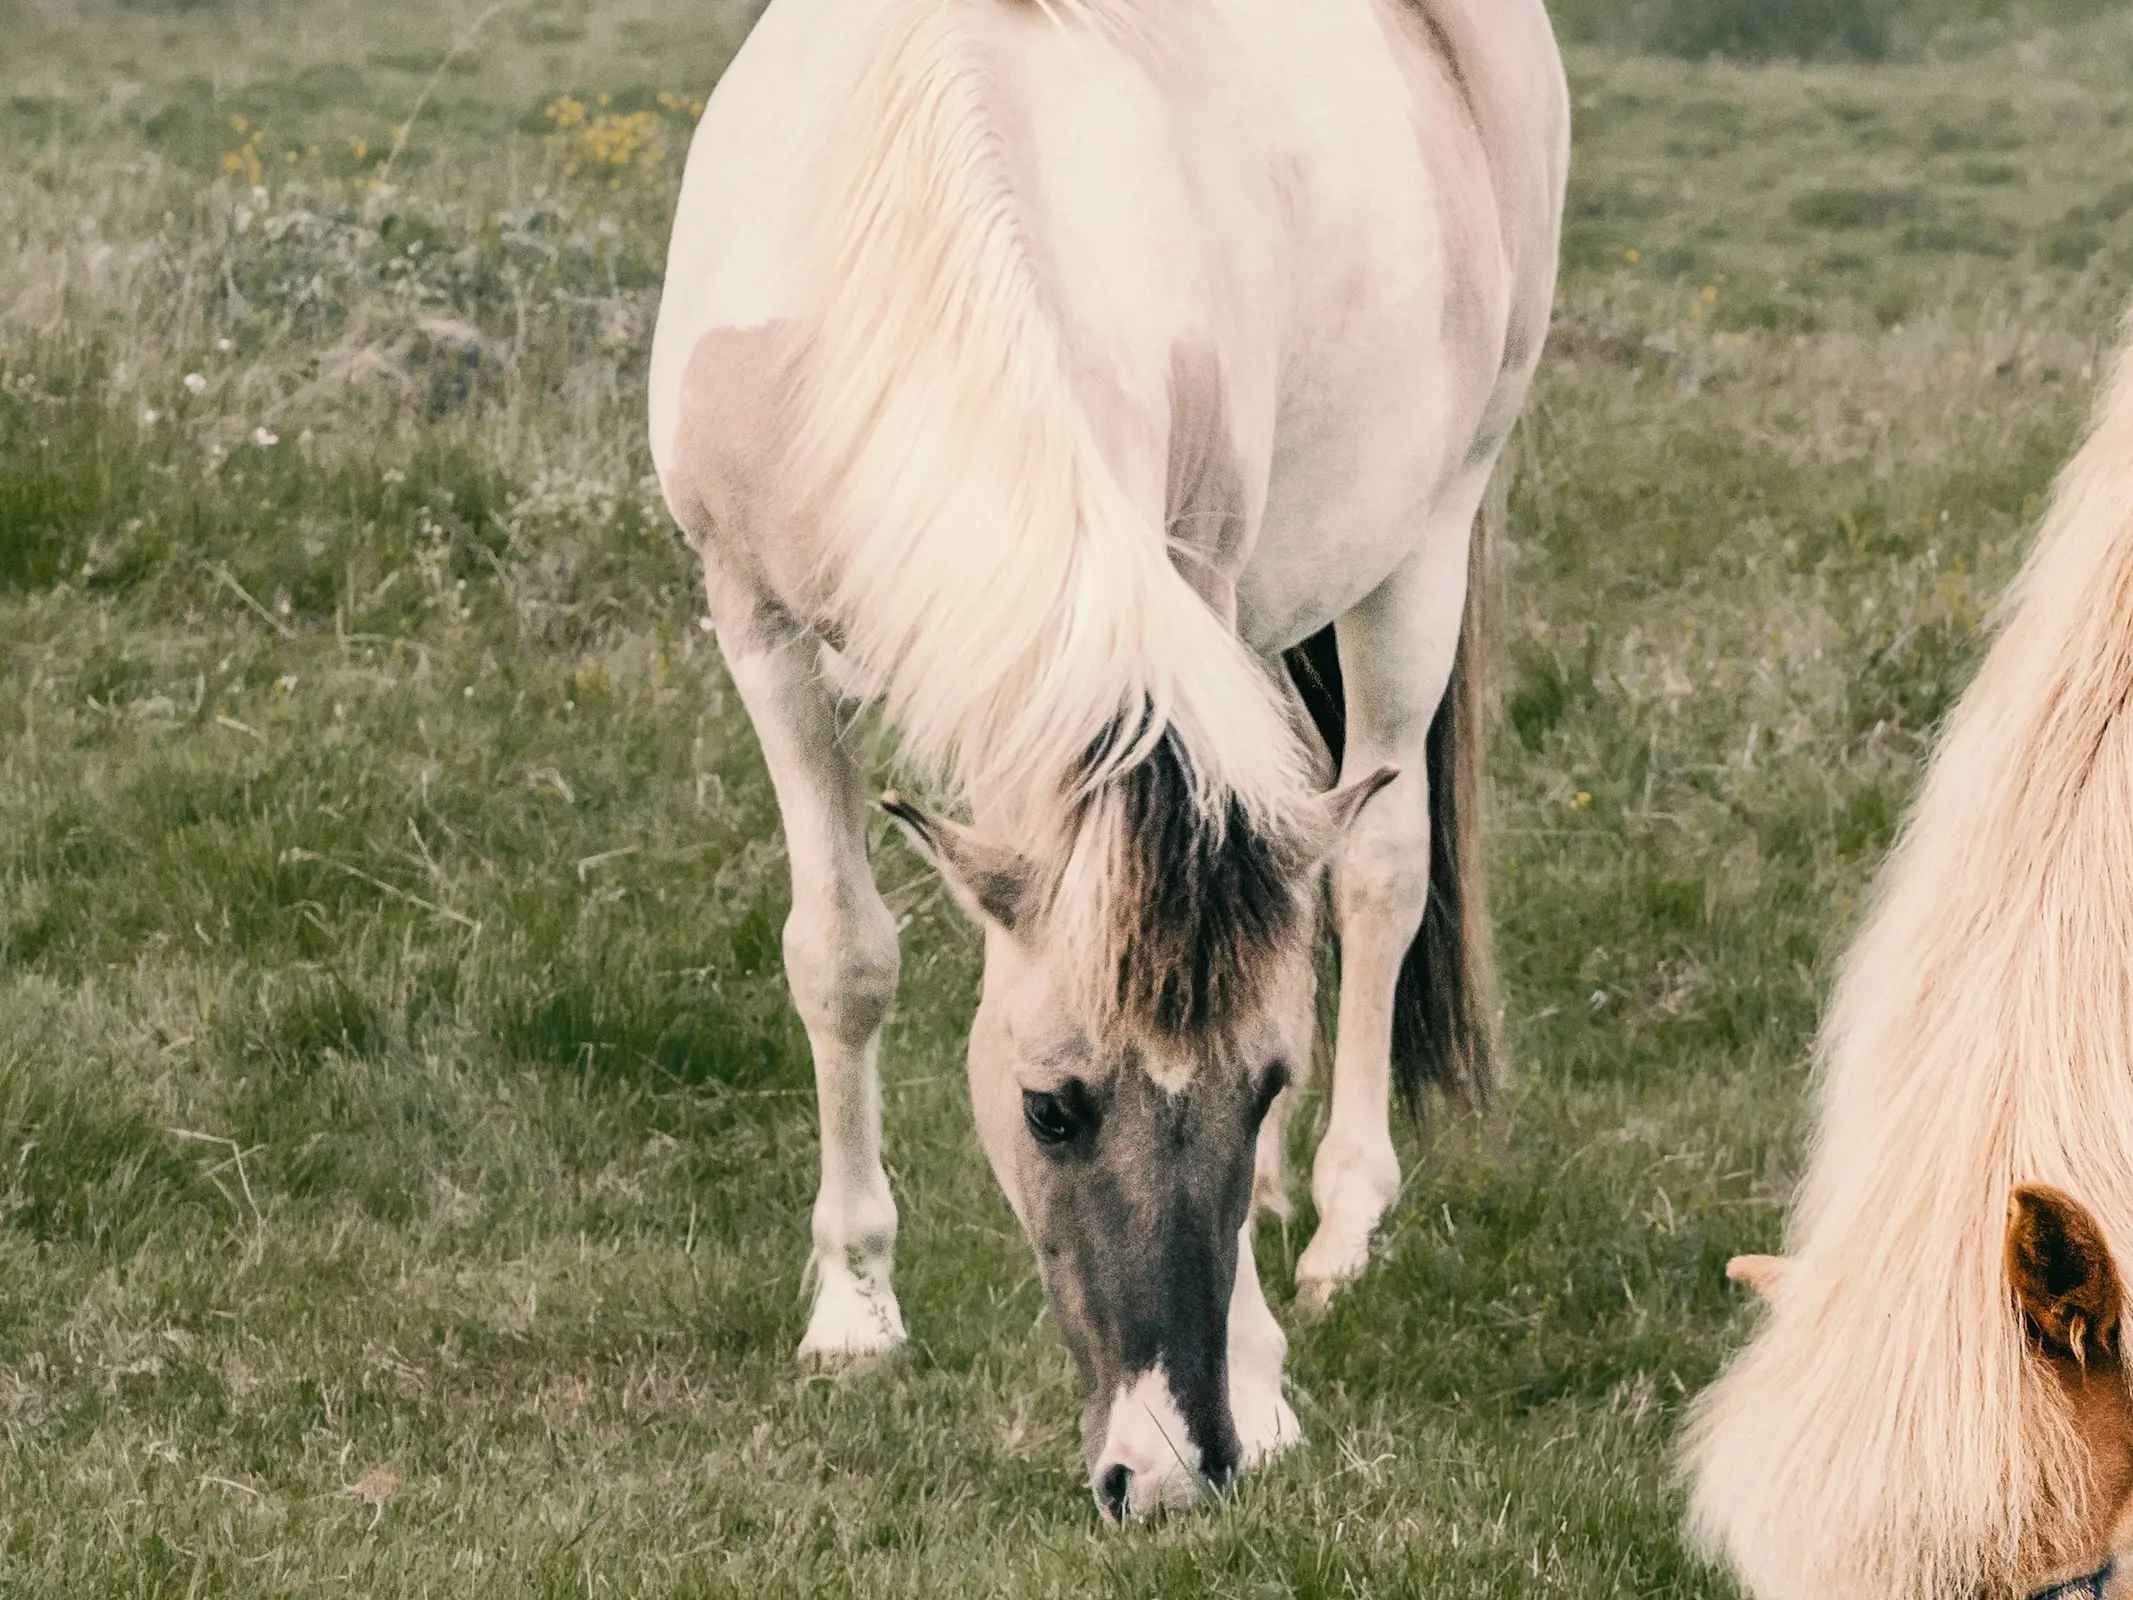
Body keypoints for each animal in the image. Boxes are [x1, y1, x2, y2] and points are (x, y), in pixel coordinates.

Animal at [644, 0, 1569, 1518]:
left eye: (1262, 1087)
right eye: (1050, 1110)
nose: (1173, 1468)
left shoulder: (1188, 584)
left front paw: (1264, 1371)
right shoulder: (759, 629)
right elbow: (839, 959)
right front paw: (853, 1311)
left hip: (1431, 527)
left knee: (1380, 869)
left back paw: (1341, 1221)